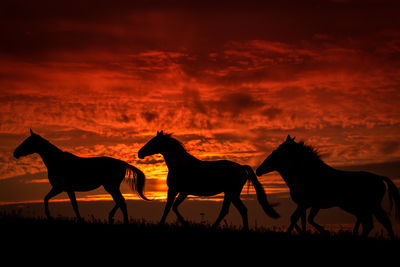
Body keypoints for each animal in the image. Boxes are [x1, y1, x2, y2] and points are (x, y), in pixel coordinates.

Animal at [13, 130, 150, 224]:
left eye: (27, 142)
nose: (15, 153)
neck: (57, 161)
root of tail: (121, 163)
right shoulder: (61, 188)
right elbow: (48, 198)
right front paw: (50, 216)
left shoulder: (63, 188)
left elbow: (72, 205)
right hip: (111, 187)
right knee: (120, 201)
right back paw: (111, 217)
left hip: (111, 187)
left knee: (121, 201)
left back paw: (120, 220)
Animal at [139, 131, 280, 229]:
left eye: (153, 142)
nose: (140, 153)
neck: (181, 164)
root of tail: (241, 167)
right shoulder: (184, 192)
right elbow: (174, 207)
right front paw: (186, 224)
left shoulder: (173, 190)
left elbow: (167, 208)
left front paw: (161, 225)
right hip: (231, 194)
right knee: (237, 210)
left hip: (232, 193)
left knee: (231, 210)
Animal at [256, 135, 400, 240]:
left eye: (277, 152)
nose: (258, 170)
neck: (306, 174)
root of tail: (379, 177)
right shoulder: (308, 205)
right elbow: (302, 220)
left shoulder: (307, 204)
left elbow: (298, 219)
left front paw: (323, 232)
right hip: (365, 208)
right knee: (372, 224)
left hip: (370, 206)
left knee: (379, 223)